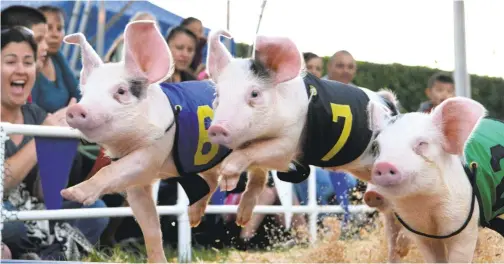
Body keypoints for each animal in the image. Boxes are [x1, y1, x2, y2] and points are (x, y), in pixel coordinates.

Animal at [58, 20, 268, 262]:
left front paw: (70, 193)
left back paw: (241, 217)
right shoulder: (138, 184)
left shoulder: (152, 151)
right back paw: (195, 217)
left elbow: (110, 171)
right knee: (212, 181)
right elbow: (150, 226)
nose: (75, 109)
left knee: (259, 174)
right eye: (85, 92)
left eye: (121, 91)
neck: (128, 143)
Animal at [364, 96, 502, 262]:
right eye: (376, 147)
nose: (384, 165)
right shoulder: (421, 235)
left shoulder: (465, 227)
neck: (424, 204)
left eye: (422, 143)